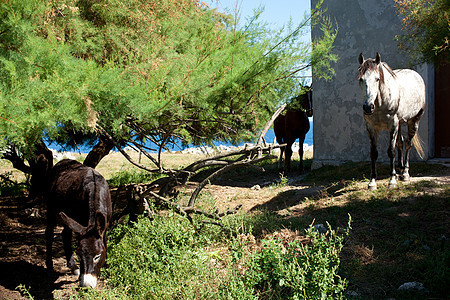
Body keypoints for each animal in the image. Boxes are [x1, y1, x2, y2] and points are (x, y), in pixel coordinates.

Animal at [358, 52, 426, 190]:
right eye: (361, 79)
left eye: (377, 79)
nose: (368, 107)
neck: (380, 104)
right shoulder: (371, 128)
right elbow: (374, 153)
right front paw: (372, 182)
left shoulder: (393, 126)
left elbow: (391, 151)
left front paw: (392, 181)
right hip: (400, 124)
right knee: (400, 142)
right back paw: (399, 170)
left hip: (414, 121)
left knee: (408, 144)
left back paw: (405, 174)